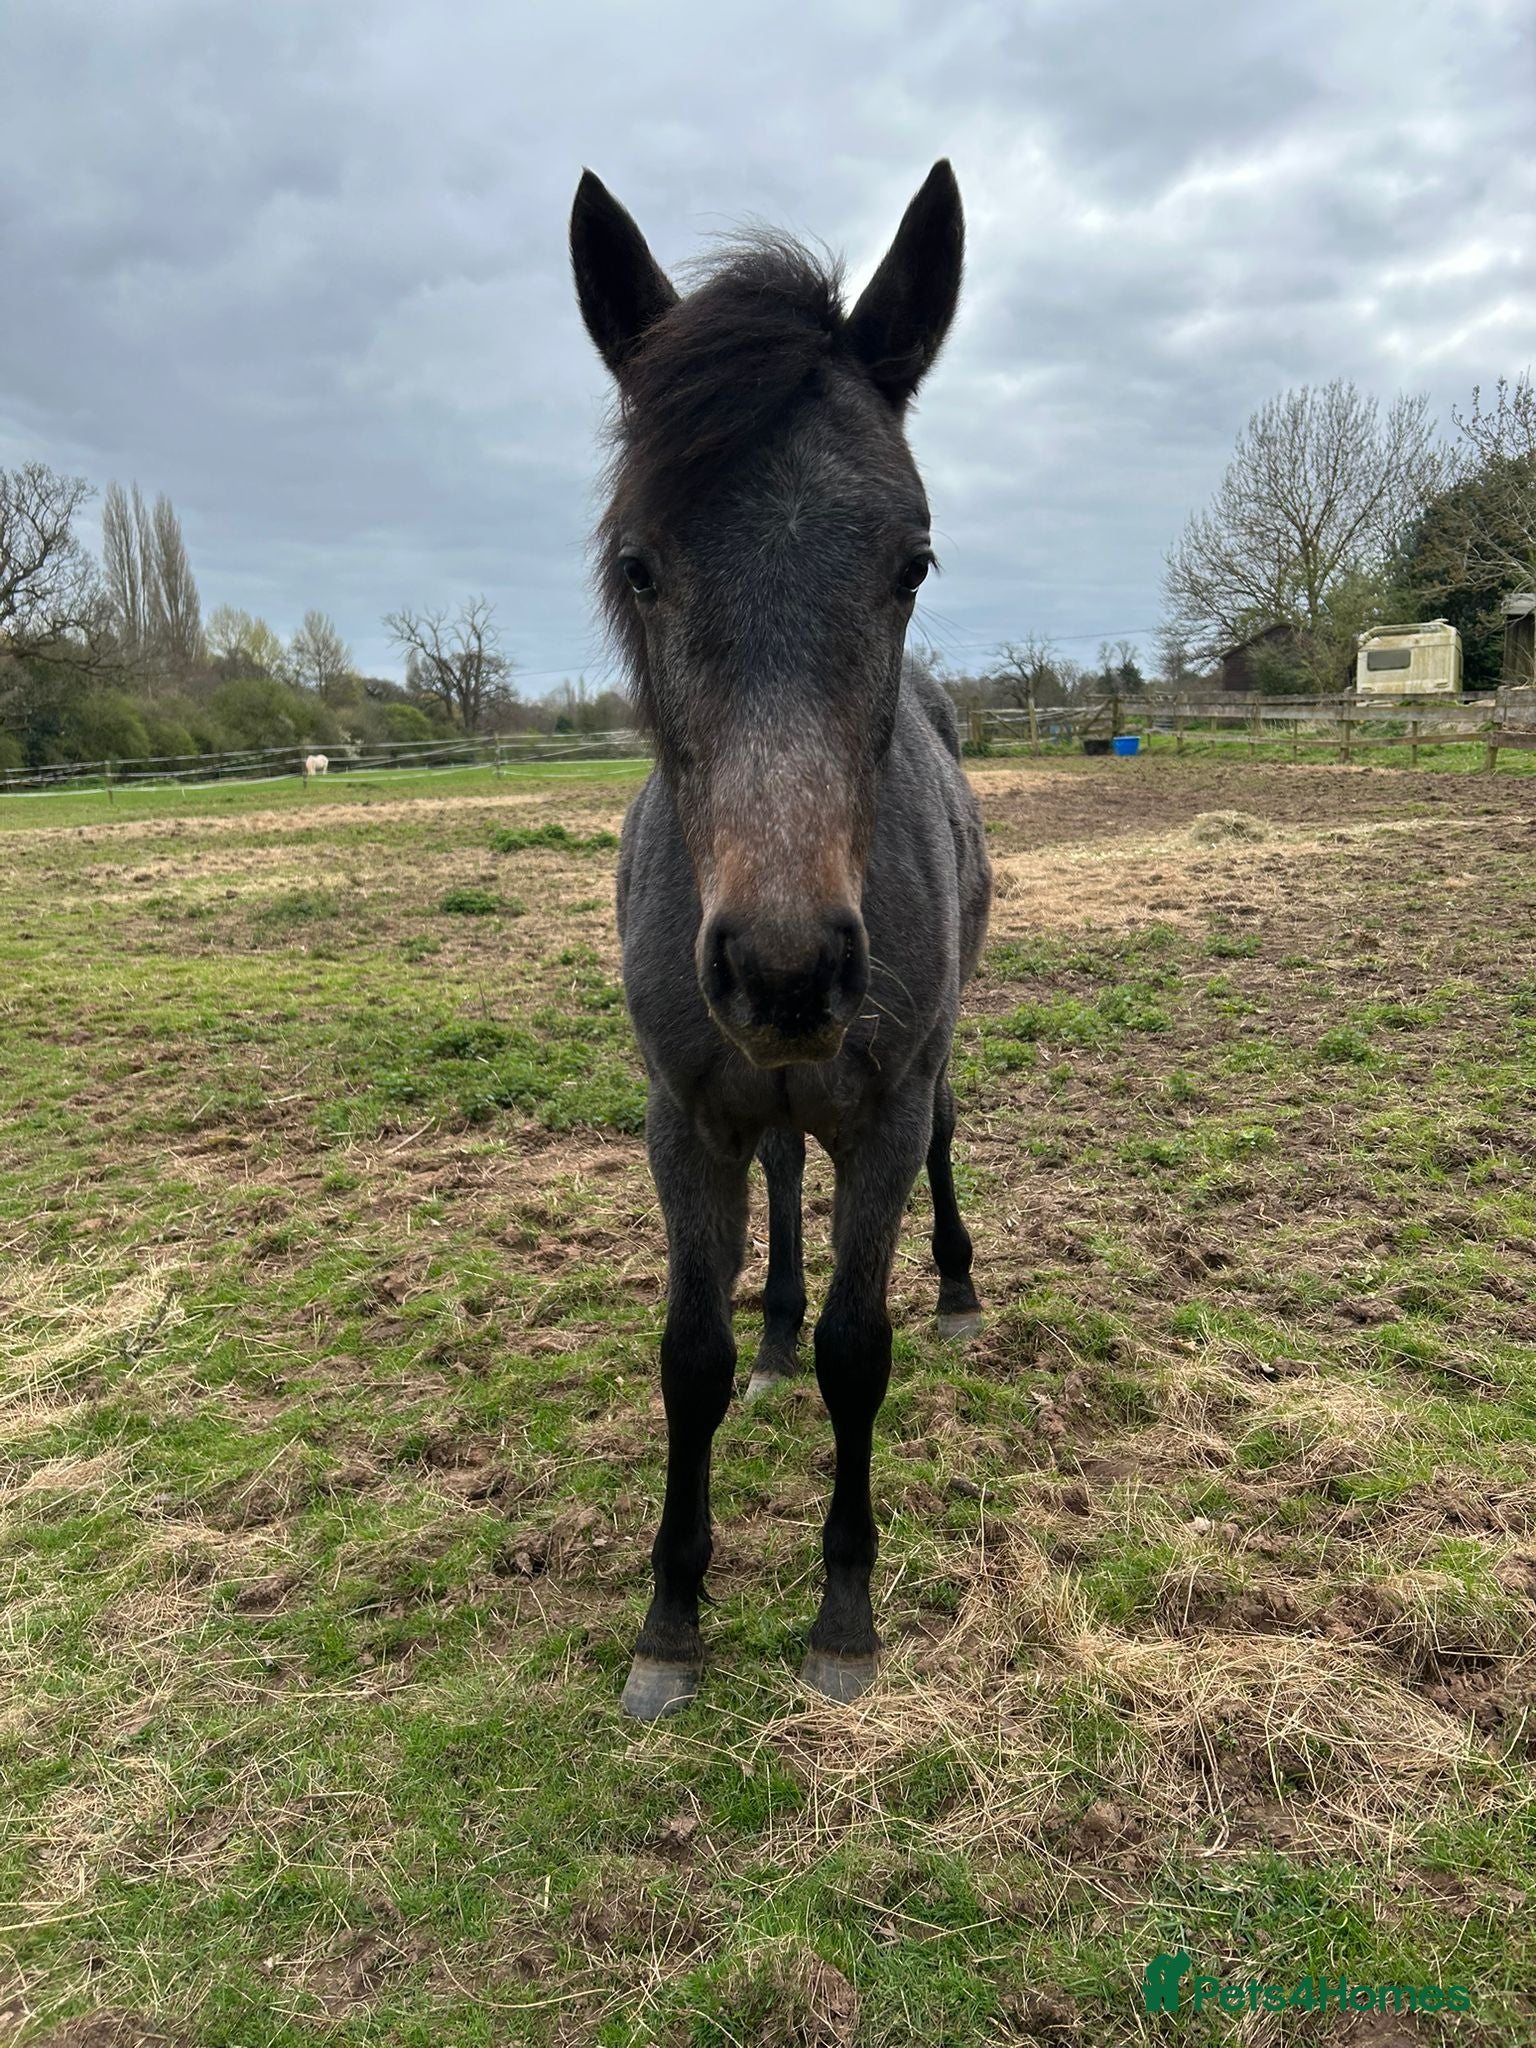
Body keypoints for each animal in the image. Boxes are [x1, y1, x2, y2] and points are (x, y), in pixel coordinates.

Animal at [570, 161, 990, 1719]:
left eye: (912, 561)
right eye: (640, 566)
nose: (786, 970)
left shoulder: (884, 1107)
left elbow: (861, 1356)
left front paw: (843, 1614)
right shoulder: (685, 1114)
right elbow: (684, 1356)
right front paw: (671, 1617)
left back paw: (957, 1289)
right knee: (784, 1187)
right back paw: (773, 1337)